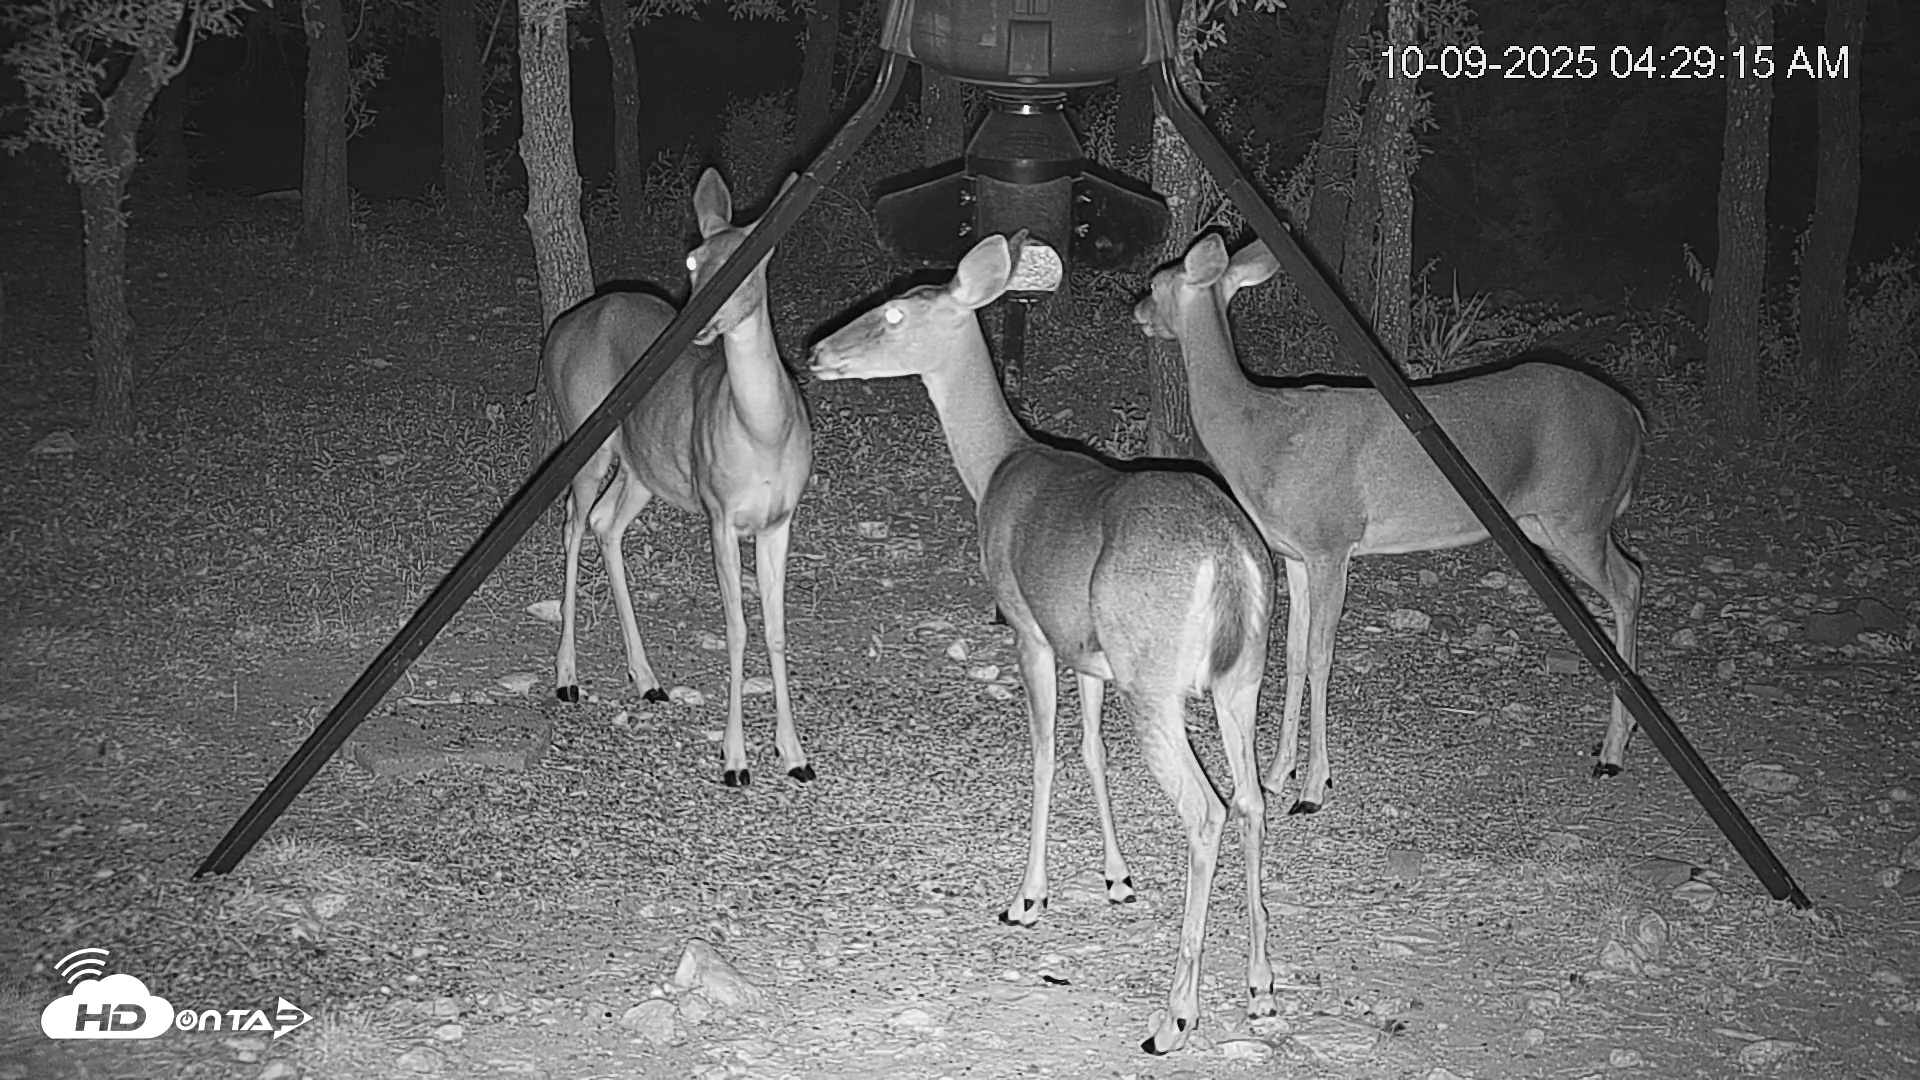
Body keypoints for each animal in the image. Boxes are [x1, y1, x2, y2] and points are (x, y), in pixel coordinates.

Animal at [542, 168, 813, 788]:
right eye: (692, 261)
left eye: (747, 262)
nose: (697, 320)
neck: (762, 432)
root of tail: (562, 328)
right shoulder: (719, 513)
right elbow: (737, 629)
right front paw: (735, 762)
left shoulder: (780, 520)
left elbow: (777, 629)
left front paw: (795, 755)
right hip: (583, 434)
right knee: (572, 524)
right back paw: (568, 677)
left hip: (645, 467)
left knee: (605, 523)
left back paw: (647, 679)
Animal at [809, 232, 1278, 1055]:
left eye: (893, 313)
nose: (814, 352)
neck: (997, 466)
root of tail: (1230, 557)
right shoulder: (1085, 650)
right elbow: (1089, 750)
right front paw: (1117, 879)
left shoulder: (1027, 626)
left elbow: (1043, 754)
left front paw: (1027, 899)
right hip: (1239, 678)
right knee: (1250, 801)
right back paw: (1259, 989)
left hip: (1155, 681)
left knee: (1208, 810)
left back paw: (1174, 1017)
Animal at [1134, 232, 1645, 814]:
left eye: (1157, 282)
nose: (1137, 308)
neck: (1262, 432)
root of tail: (1634, 416)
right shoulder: (1294, 553)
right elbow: (1292, 654)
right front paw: (1277, 774)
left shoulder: (1331, 540)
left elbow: (1320, 657)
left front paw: (1313, 787)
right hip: (1547, 522)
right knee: (1631, 575)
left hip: (1579, 513)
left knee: (1629, 583)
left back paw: (1612, 751)